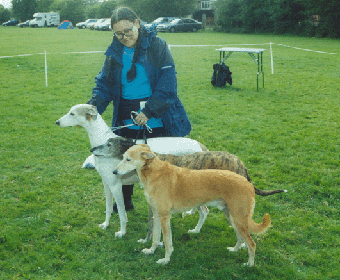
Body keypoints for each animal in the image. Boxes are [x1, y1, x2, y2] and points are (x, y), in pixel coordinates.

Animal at [55, 104, 205, 237]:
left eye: (72, 113)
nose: (57, 122)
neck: (104, 143)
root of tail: (201, 147)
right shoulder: (106, 185)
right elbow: (108, 208)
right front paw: (105, 225)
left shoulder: (116, 186)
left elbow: (122, 214)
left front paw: (122, 232)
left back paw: (196, 230)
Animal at [113, 144, 270, 266]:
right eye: (122, 157)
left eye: (128, 159)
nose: (114, 171)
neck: (154, 172)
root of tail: (248, 184)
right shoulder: (156, 215)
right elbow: (155, 238)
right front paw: (151, 251)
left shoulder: (164, 217)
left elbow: (167, 242)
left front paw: (165, 260)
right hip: (232, 218)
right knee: (240, 238)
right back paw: (234, 250)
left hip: (238, 219)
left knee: (251, 243)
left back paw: (249, 264)